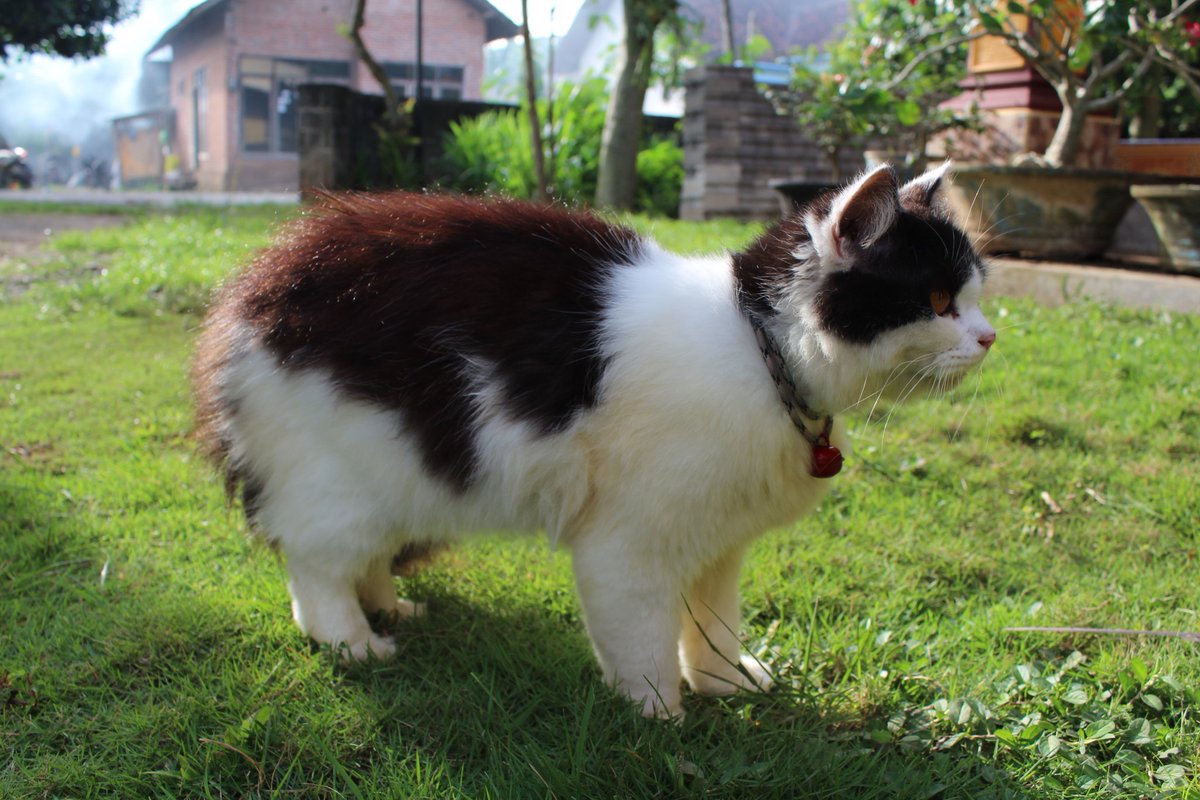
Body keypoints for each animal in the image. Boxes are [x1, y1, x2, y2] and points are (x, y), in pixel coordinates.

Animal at [189, 163, 993, 719]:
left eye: (976, 295)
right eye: (937, 302)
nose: (990, 337)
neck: (759, 349)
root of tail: (252, 288)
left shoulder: (719, 541)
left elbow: (714, 625)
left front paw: (725, 686)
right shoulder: (628, 547)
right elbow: (643, 643)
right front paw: (661, 717)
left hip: (399, 484)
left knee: (366, 561)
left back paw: (393, 608)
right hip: (340, 483)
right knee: (316, 573)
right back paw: (355, 642)